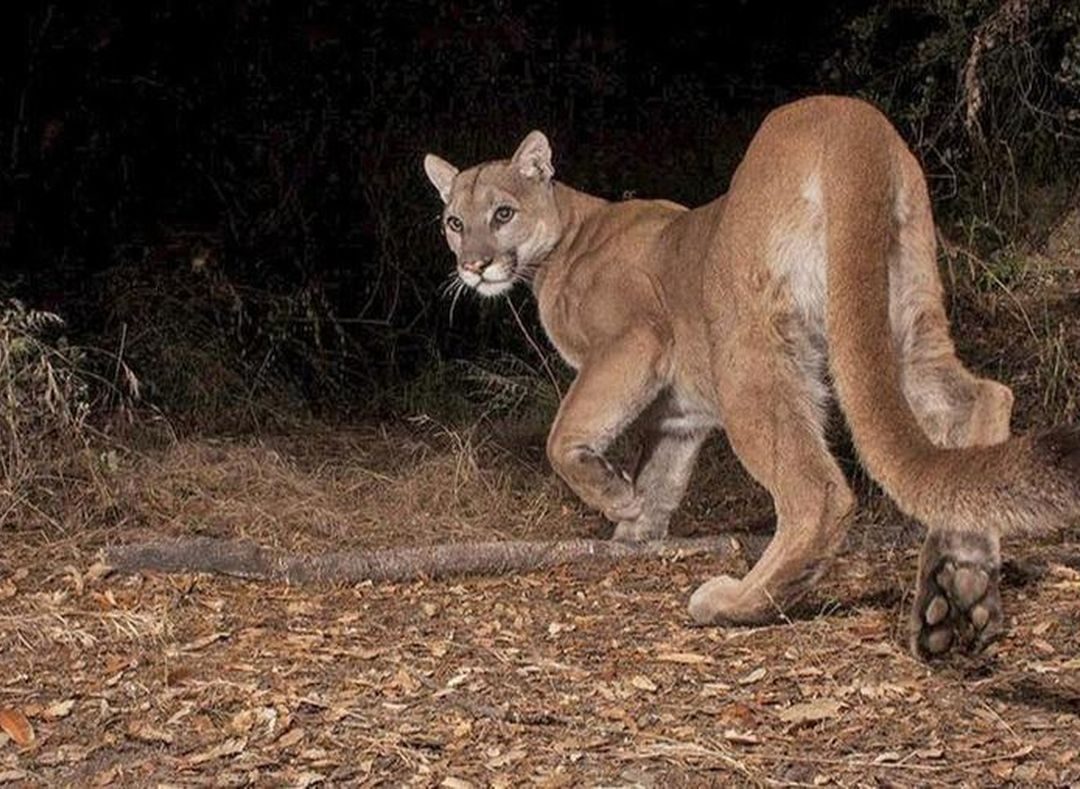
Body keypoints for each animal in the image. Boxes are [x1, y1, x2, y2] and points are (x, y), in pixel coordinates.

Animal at [423, 95, 1080, 658]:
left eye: (502, 213)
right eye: (454, 222)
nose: (473, 265)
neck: (563, 237)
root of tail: (847, 118)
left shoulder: (635, 342)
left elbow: (565, 436)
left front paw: (616, 496)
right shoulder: (679, 412)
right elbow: (662, 474)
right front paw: (636, 528)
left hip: (752, 352)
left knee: (818, 493)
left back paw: (736, 602)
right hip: (910, 320)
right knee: (983, 397)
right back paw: (961, 584)